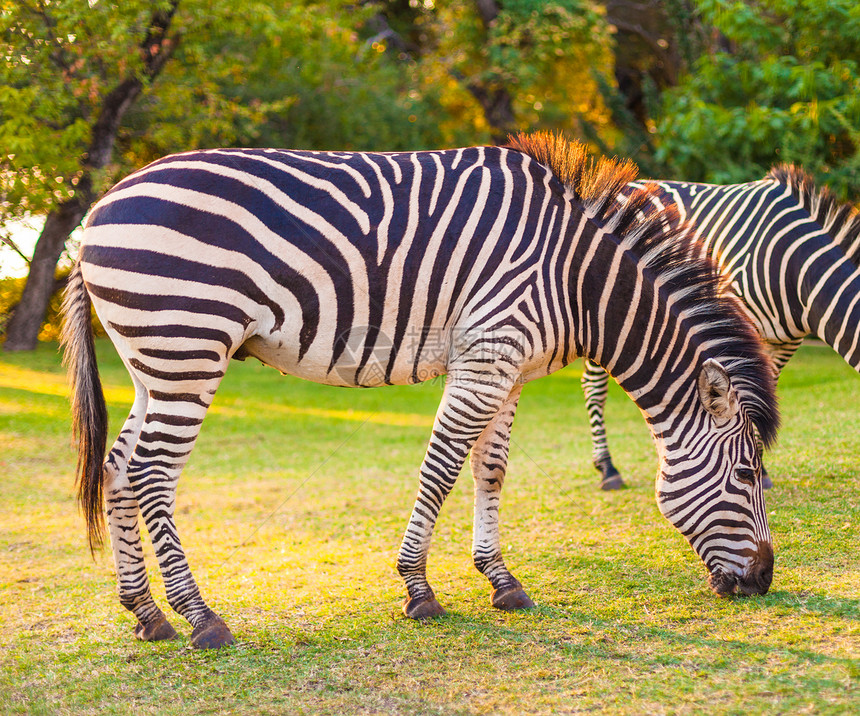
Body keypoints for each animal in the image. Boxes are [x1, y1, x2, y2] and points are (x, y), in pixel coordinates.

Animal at [62, 133, 780, 648]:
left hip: (155, 361)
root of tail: (97, 211)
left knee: (119, 468)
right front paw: (418, 589)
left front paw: (501, 580)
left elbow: (490, 470)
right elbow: (441, 468)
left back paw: (147, 614)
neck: (575, 277)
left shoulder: (509, 366)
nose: (766, 581)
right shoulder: (487, 352)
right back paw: (202, 618)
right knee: (152, 474)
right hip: (188, 344)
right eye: (748, 476)